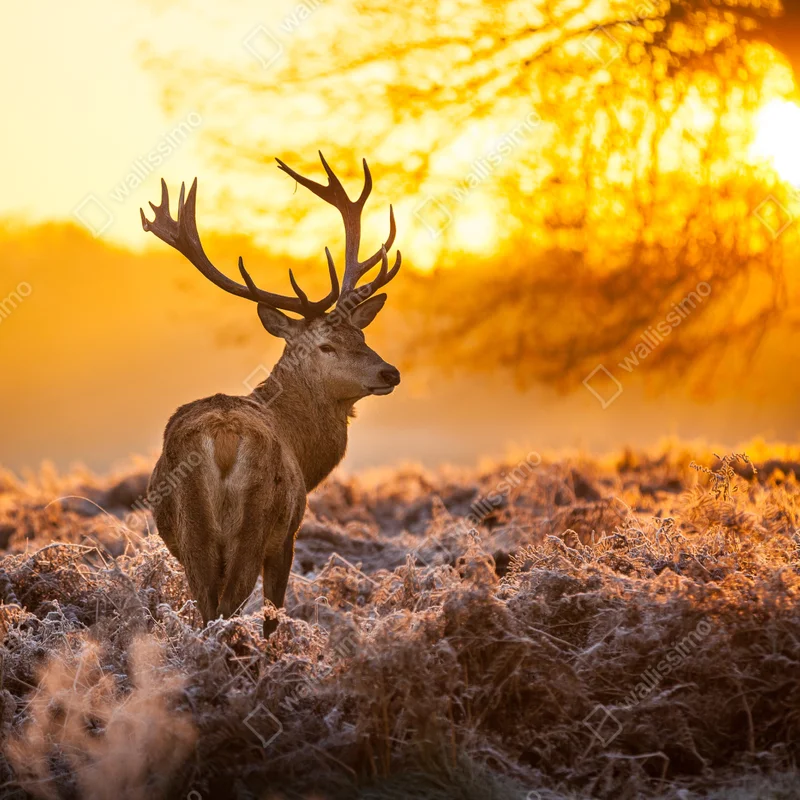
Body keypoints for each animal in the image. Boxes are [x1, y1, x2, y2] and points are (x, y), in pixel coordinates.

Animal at [140, 153, 401, 636]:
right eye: (326, 345)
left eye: (361, 334)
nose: (389, 372)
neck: (303, 449)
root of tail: (223, 440)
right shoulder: (288, 534)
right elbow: (273, 614)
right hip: (256, 523)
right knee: (229, 606)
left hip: (192, 533)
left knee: (207, 608)